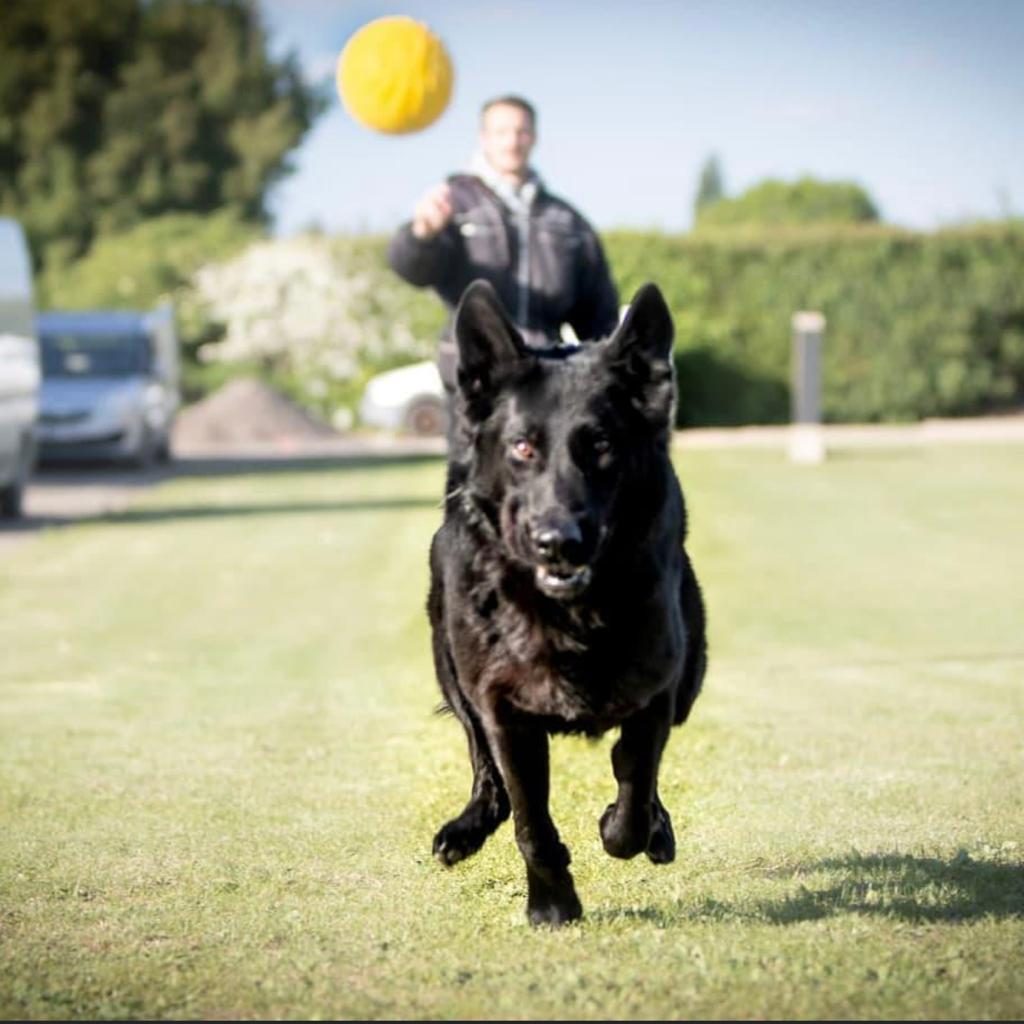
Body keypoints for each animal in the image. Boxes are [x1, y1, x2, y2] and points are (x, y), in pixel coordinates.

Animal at [428, 280, 708, 929]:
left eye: (602, 445)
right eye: (523, 447)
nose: (559, 541)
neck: (569, 613)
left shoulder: (657, 690)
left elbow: (634, 781)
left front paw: (625, 828)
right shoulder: (504, 709)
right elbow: (531, 821)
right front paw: (553, 905)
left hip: (691, 674)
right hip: (450, 667)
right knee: (485, 768)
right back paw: (468, 827)